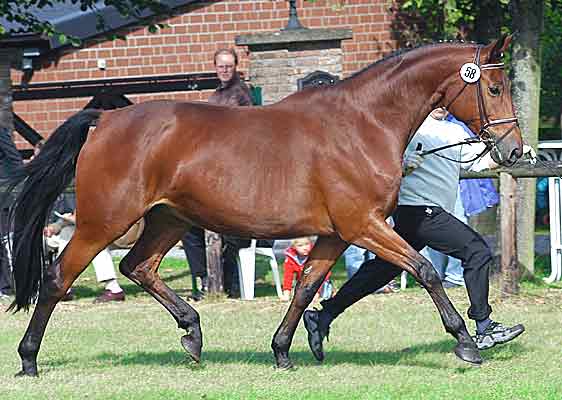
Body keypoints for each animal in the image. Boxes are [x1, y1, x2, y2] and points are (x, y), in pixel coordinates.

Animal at [5, 34, 520, 376]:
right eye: (494, 88)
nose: (514, 151)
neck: (363, 123)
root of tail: (106, 120)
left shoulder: (335, 234)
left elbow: (306, 288)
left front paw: (284, 350)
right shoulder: (363, 225)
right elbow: (426, 270)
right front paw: (466, 342)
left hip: (169, 219)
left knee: (139, 266)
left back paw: (193, 334)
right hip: (104, 222)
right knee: (58, 278)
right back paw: (28, 360)